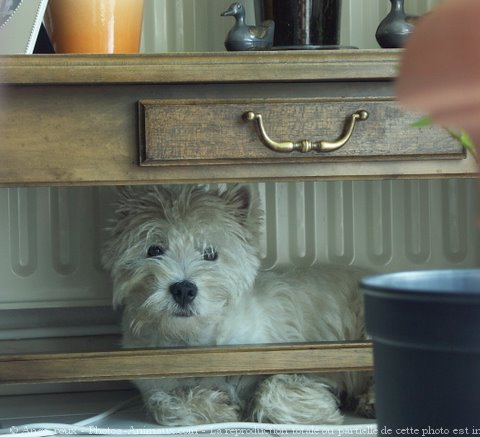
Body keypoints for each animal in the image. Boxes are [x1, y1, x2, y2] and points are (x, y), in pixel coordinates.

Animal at [103, 182, 376, 424]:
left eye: (210, 253)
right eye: (154, 250)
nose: (183, 290)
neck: (192, 340)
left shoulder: (301, 361)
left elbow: (272, 389)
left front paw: (319, 411)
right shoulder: (154, 382)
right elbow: (164, 403)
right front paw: (218, 407)